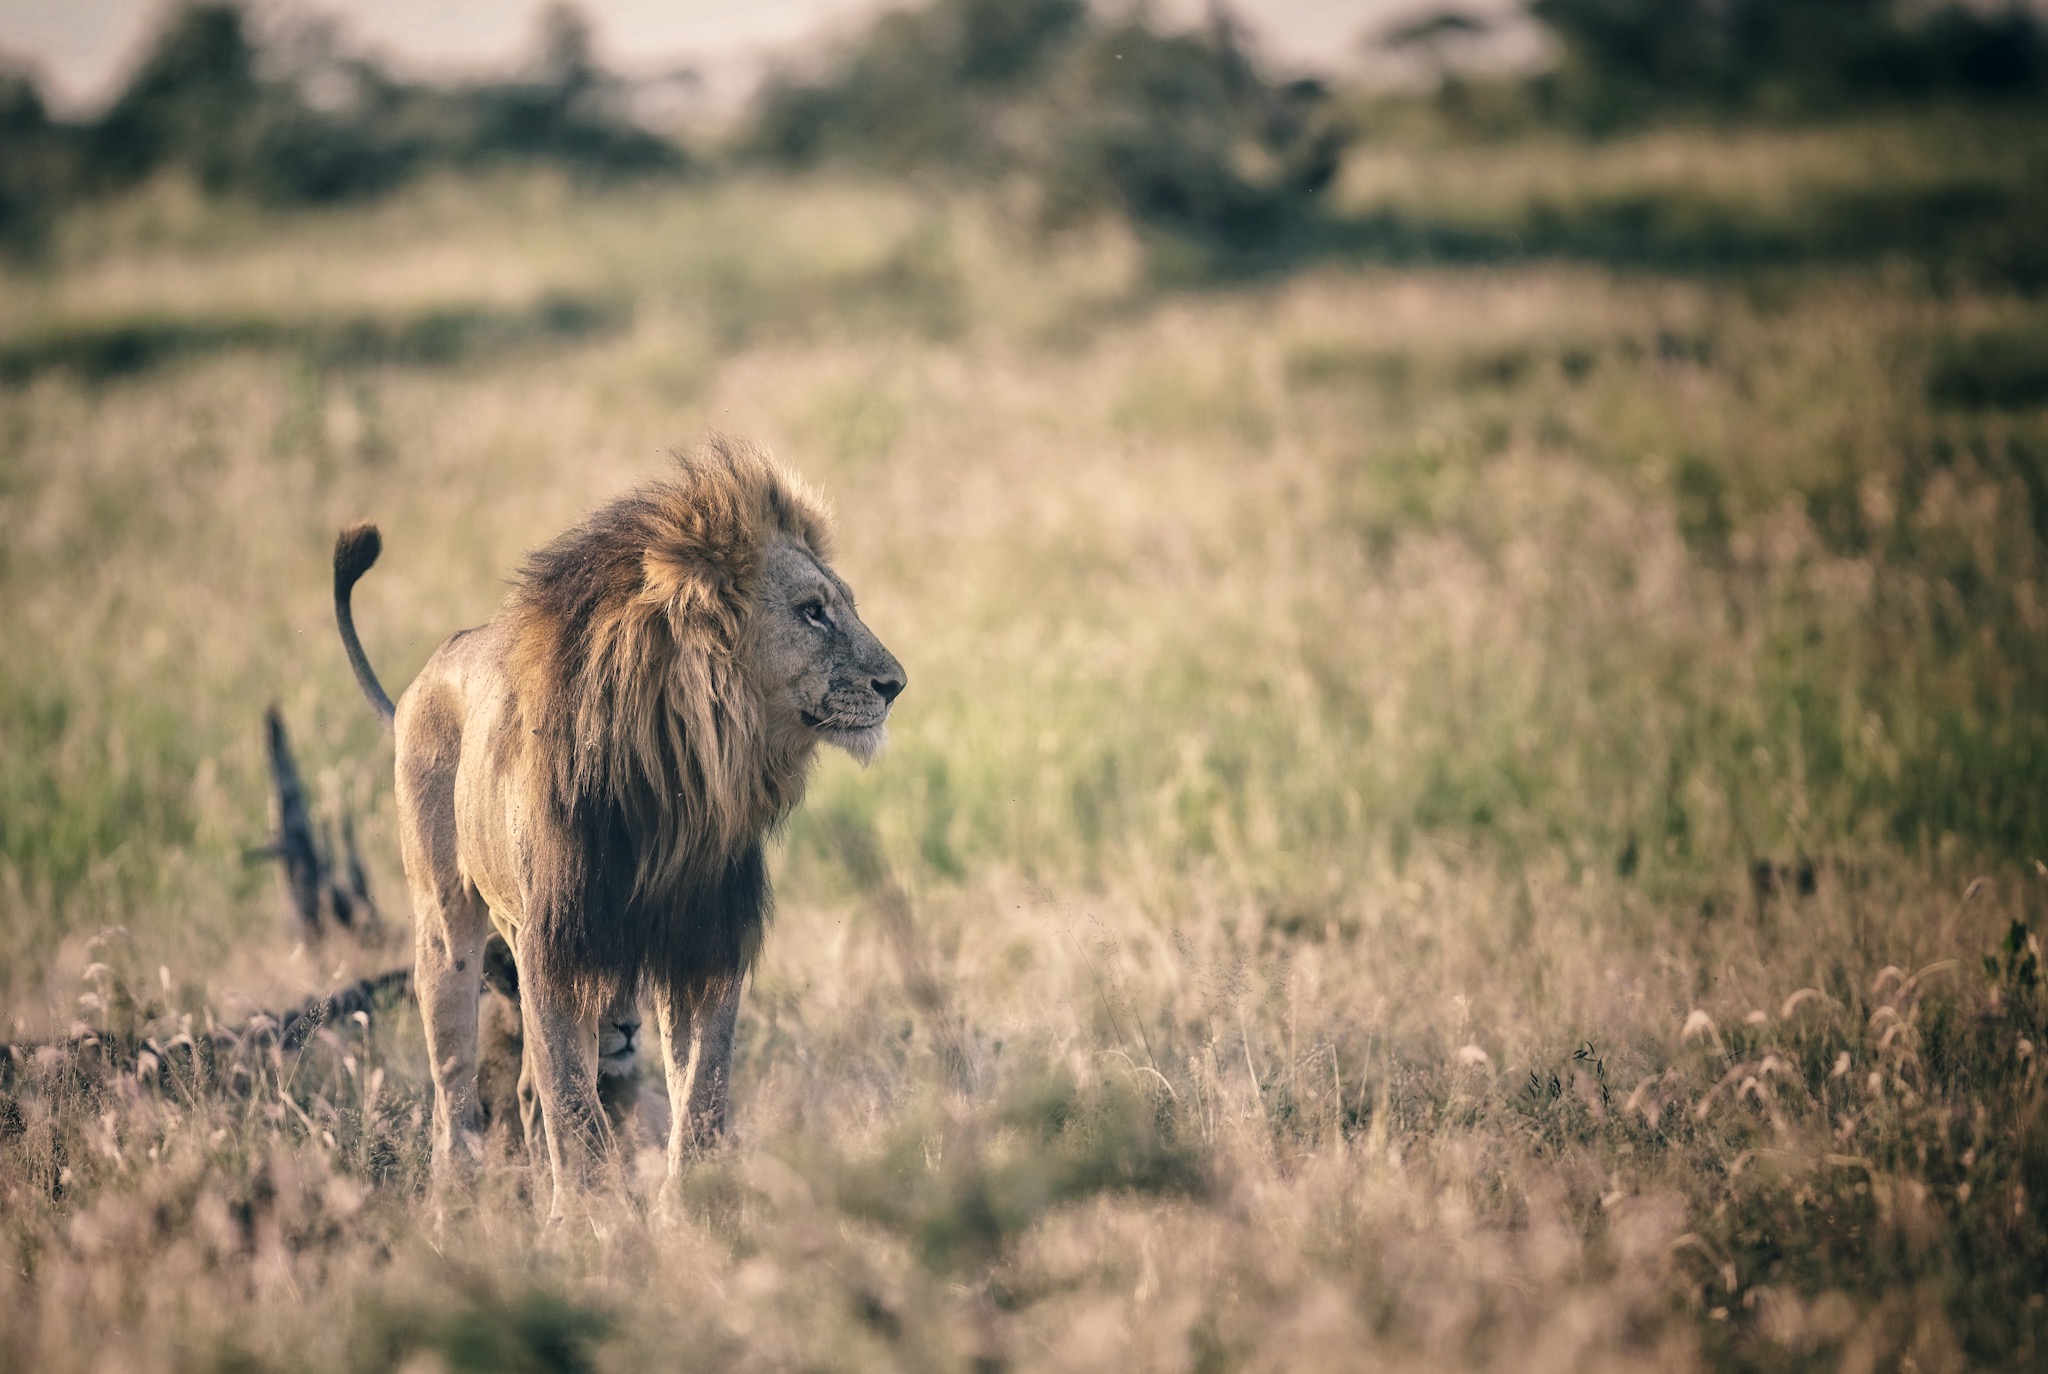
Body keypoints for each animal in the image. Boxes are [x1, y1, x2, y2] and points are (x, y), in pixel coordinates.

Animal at [331, 436, 904, 1214]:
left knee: (525, 1091)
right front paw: (587, 1224)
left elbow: (700, 1093)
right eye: (813, 612)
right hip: (446, 927)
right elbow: (575, 1107)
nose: (896, 684)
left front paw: (691, 1216)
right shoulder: (554, 943)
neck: (677, 773)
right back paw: (457, 1206)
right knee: (457, 1096)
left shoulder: (704, 940)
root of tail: (427, 673)